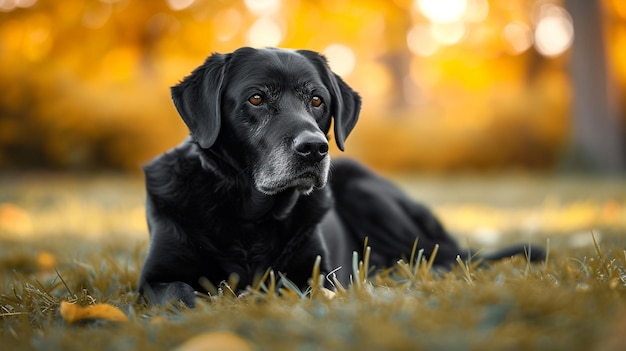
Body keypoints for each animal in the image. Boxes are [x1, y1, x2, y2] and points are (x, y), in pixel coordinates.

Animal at [138, 47, 540, 308]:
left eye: (317, 101)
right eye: (256, 98)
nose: (314, 148)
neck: (250, 215)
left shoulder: (314, 272)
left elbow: (298, 288)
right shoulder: (153, 278)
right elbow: (180, 294)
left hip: (367, 193)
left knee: (445, 260)